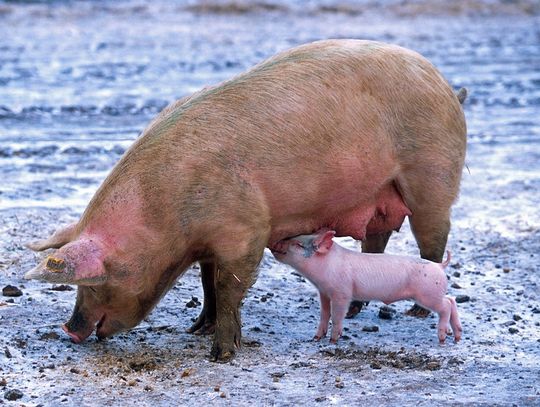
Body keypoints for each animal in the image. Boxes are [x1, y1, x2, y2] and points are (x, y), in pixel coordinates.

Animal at [272, 230, 462, 344]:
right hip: (434, 293)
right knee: (451, 299)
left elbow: (337, 316)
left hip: (428, 294)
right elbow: (324, 314)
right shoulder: (324, 292)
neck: (326, 265)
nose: (275, 243)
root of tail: (440, 266)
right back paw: (457, 336)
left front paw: (333, 341)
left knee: (446, 306)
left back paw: (443, 337)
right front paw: (316, 338)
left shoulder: (342, 293)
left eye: (298, 244)